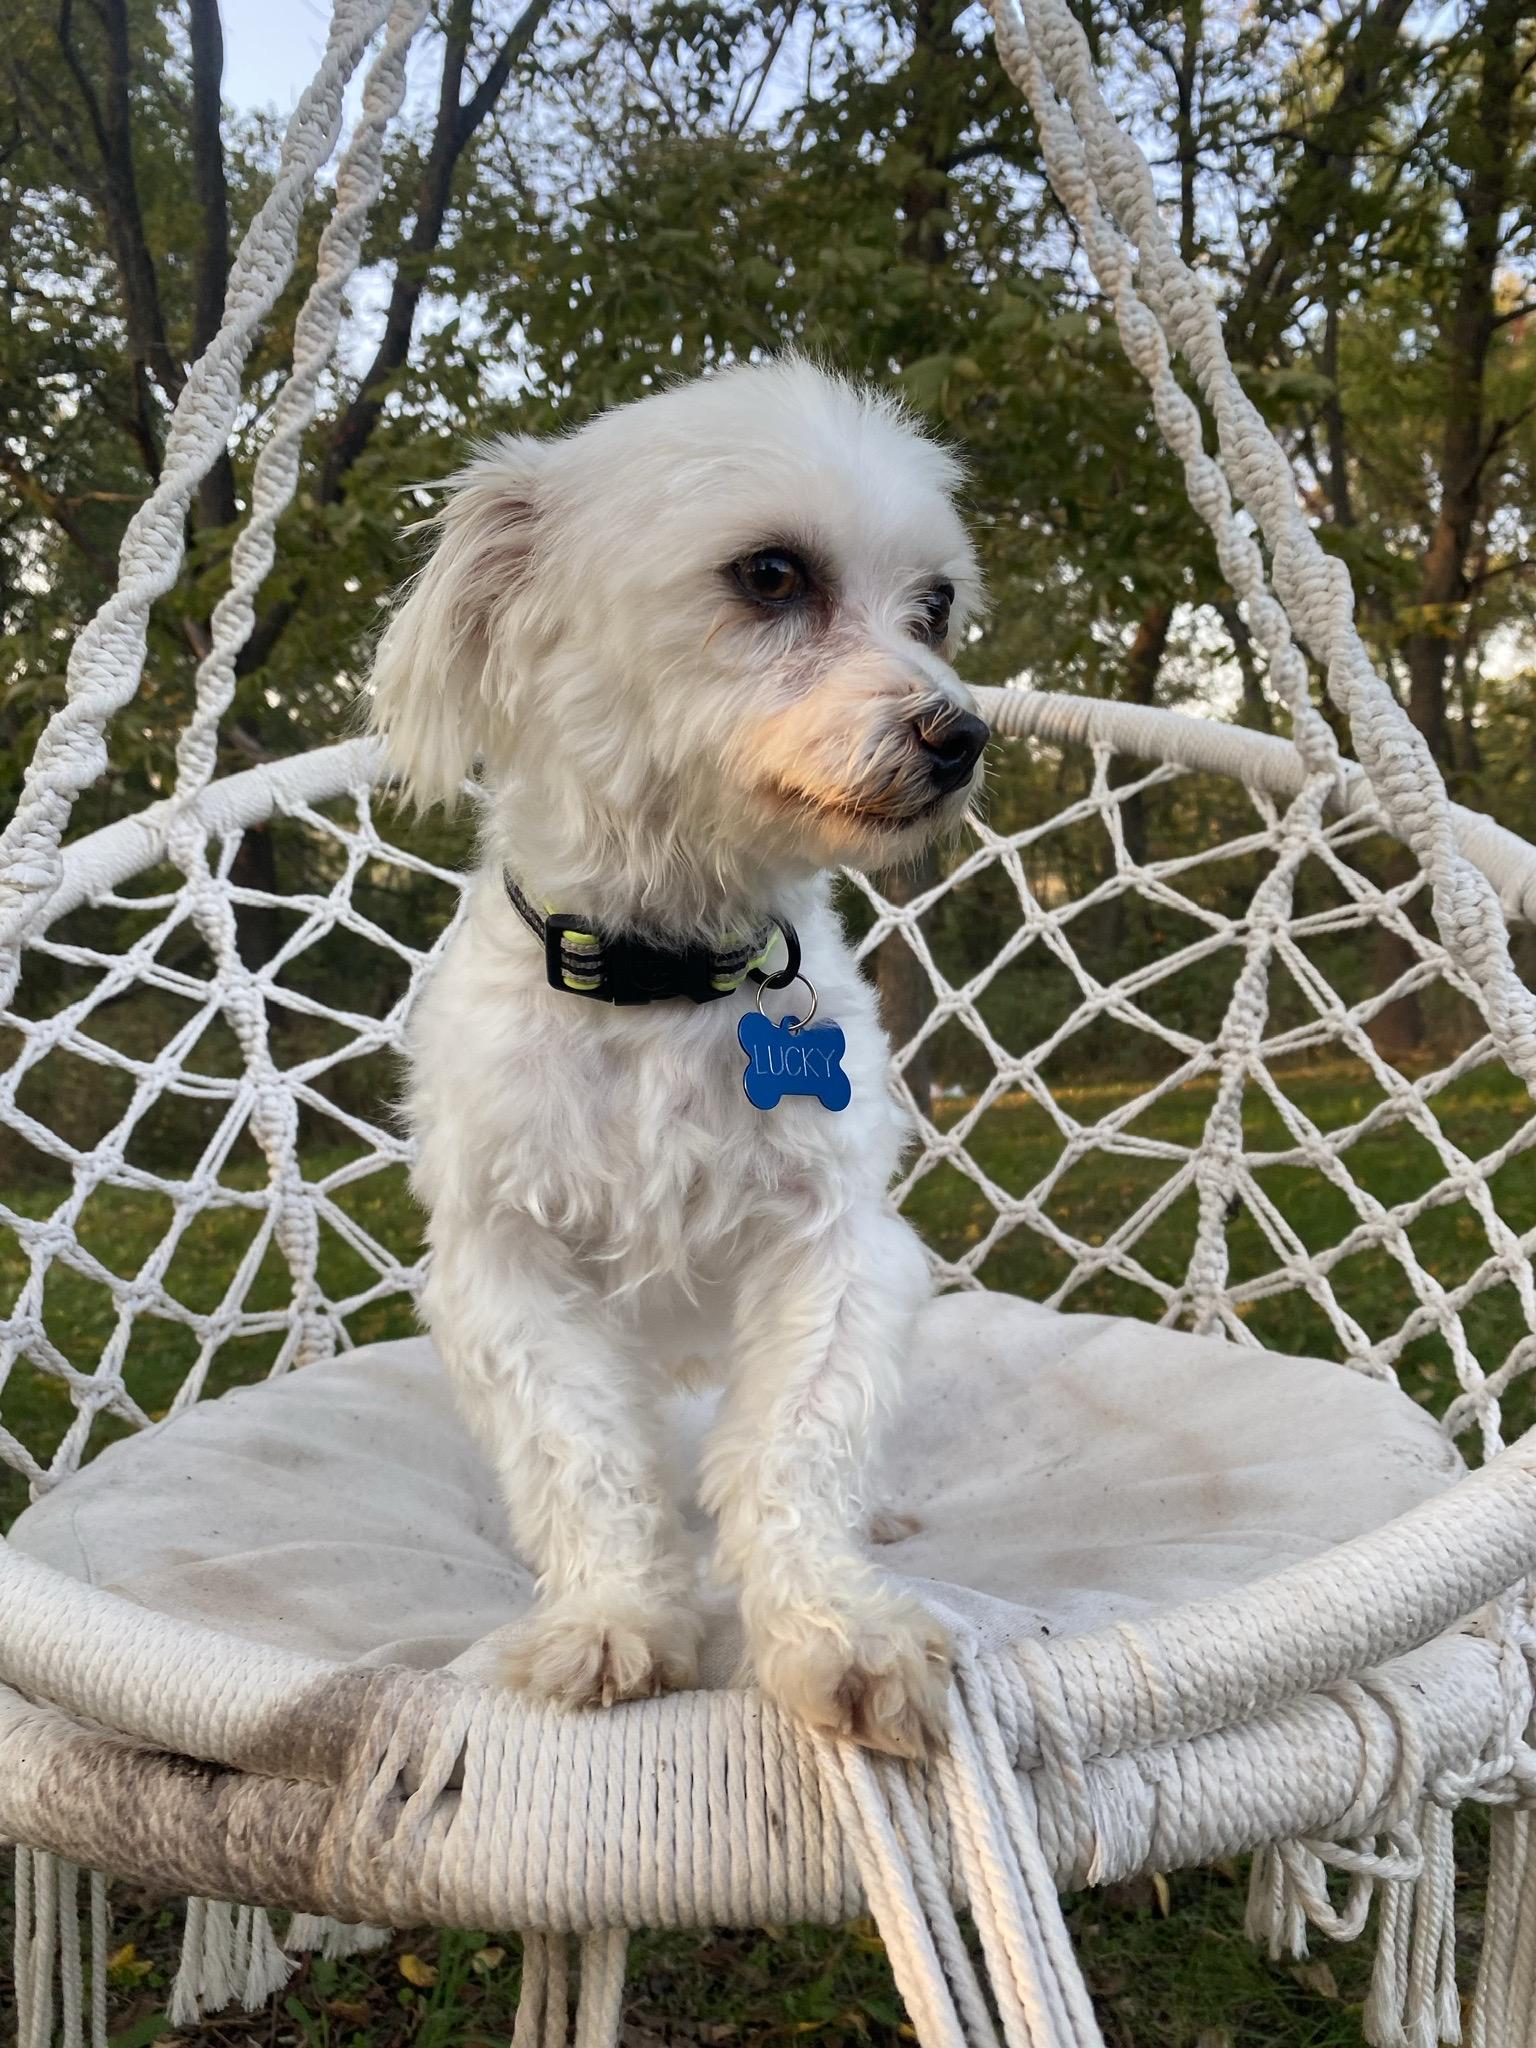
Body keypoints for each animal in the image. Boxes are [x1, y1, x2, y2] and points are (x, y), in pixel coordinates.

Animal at [367, 358, 987, 1756]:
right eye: (770, 574)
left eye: (934, 605)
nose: (961, 736)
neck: (667, 975)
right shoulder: (507, 1267)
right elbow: (583, 1456)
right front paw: (611, 1614)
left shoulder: (835, 1251)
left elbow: (795, 1450)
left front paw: (836, 1625)